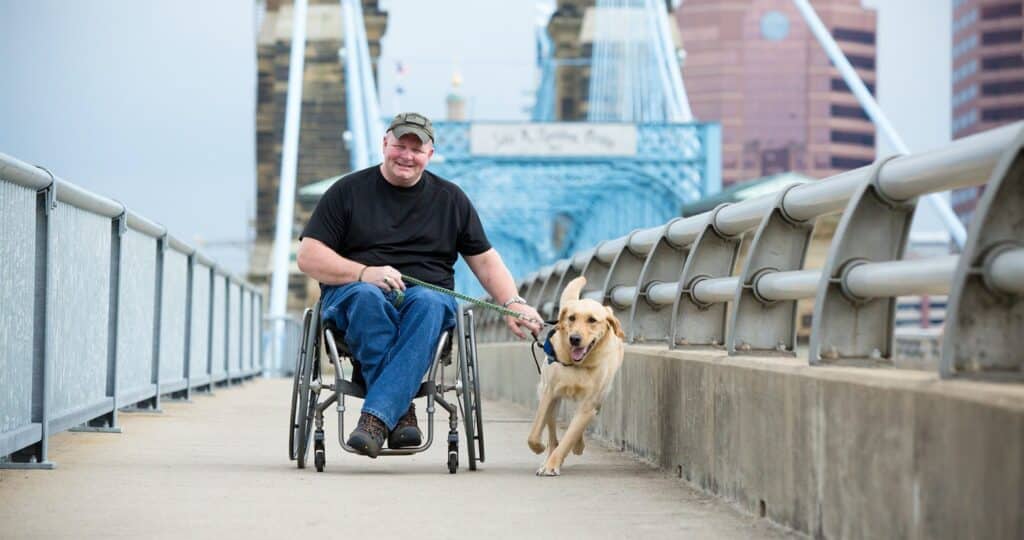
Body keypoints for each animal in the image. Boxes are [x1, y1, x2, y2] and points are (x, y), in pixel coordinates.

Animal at [528, 276, 622, 475]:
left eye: (592, 320)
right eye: (571, 318)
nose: (574, 339)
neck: (578, 365)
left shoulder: (588, 404)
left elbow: (570, 436)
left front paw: (553, 465)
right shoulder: (548, 393)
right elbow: (534, 433)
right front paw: (540, 449)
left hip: (594, 401)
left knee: (574, 429)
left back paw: (575, 446)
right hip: (552, 399)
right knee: (553, 435)